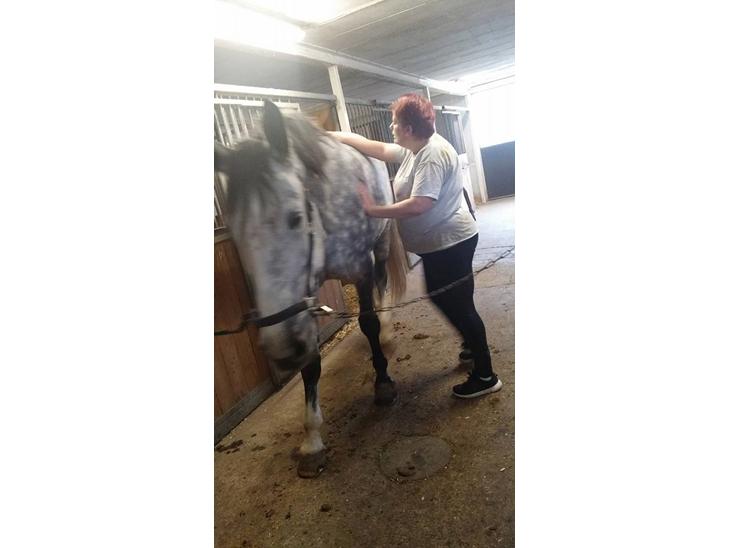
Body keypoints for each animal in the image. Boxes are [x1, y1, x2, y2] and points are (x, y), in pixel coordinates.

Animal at [214, 100, 408, 478]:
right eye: (235, 233)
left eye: (295, 217)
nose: (281, 350)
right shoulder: (304, 299)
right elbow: (311, 361)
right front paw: (312, 441)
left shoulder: (361, 268)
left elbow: (367, 323)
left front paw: (382, 383)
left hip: (380, 248)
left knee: (382, 289)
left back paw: (389, 334)